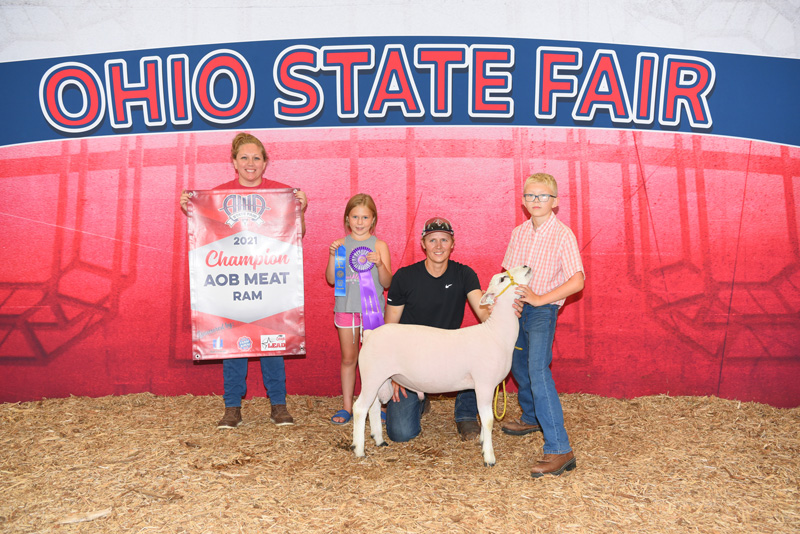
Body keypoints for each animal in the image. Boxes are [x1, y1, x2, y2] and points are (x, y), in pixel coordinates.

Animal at [352, 266, 532, 466]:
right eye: (502, 279)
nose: (526, 266)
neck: (496, 333)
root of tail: (369, 334)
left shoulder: (485, 386)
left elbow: (483, 417)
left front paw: (482, 441)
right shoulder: (484, 384)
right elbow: (488, 420)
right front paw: (489, 457)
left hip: (380, 378)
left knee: (374, 406)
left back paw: (378, 440)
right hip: (371, 376)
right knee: (359, 408)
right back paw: (359, 450)